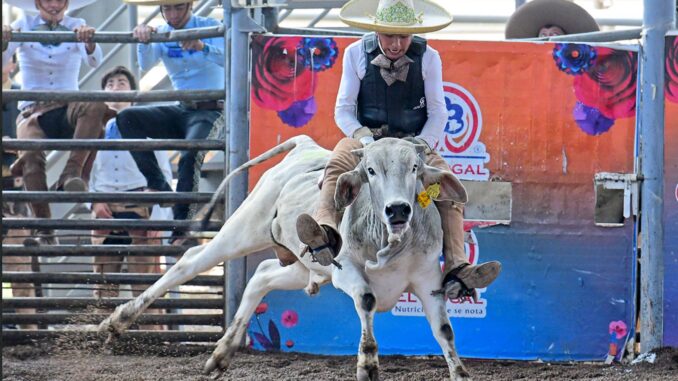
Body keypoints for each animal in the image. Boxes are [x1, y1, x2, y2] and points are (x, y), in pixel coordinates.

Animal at [99, 135, 472, 378]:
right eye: (370, 170)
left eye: (415, 168)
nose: (397, 209)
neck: (390, 240)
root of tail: (304, 146)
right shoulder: (345, 271)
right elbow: (366, 299)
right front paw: (367, 364)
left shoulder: (427, 281)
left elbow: (445, 330)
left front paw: (460, 372)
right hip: (245, 228)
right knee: (191, 259)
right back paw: (116, 321)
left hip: (302, 266)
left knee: (262, 275)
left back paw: (222, 354)